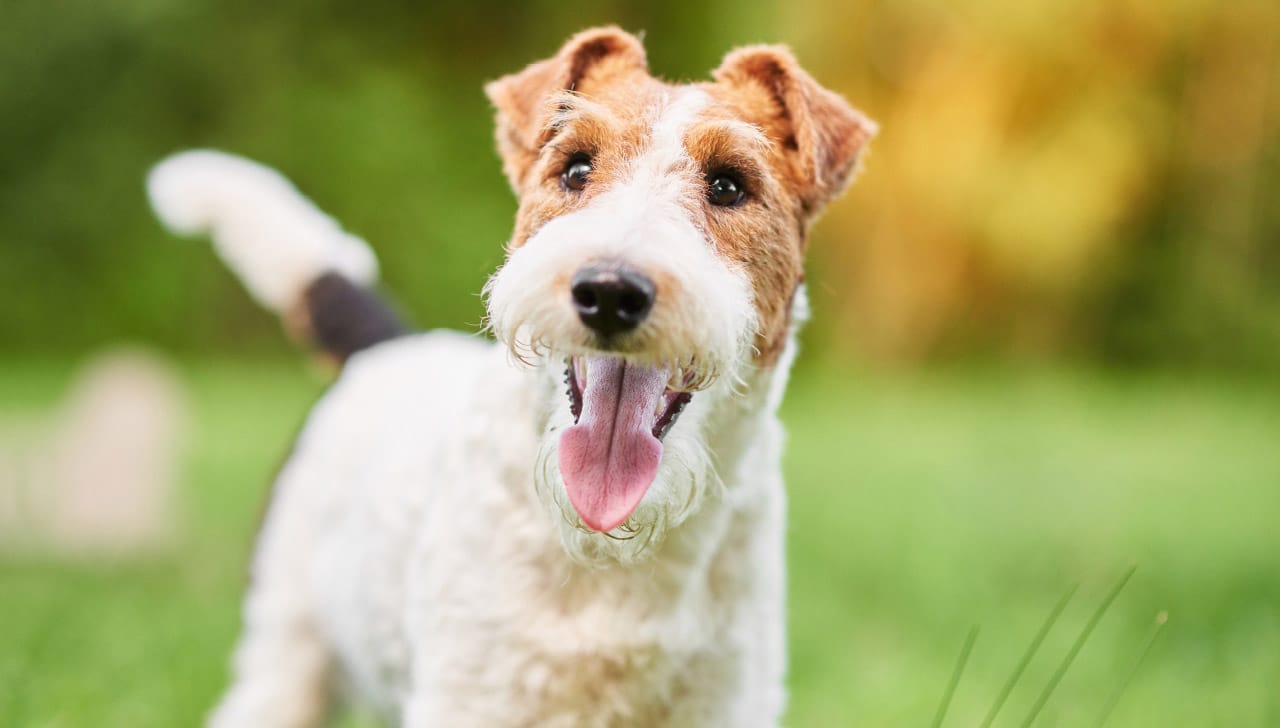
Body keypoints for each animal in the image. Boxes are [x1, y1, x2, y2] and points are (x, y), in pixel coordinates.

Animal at [147, 25, 870, 721]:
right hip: (286, 649)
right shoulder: (471, 695)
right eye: (575, 167)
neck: (610, 548)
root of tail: (384, 348)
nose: (610, 292)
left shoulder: (728, 701)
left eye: (728, 184)